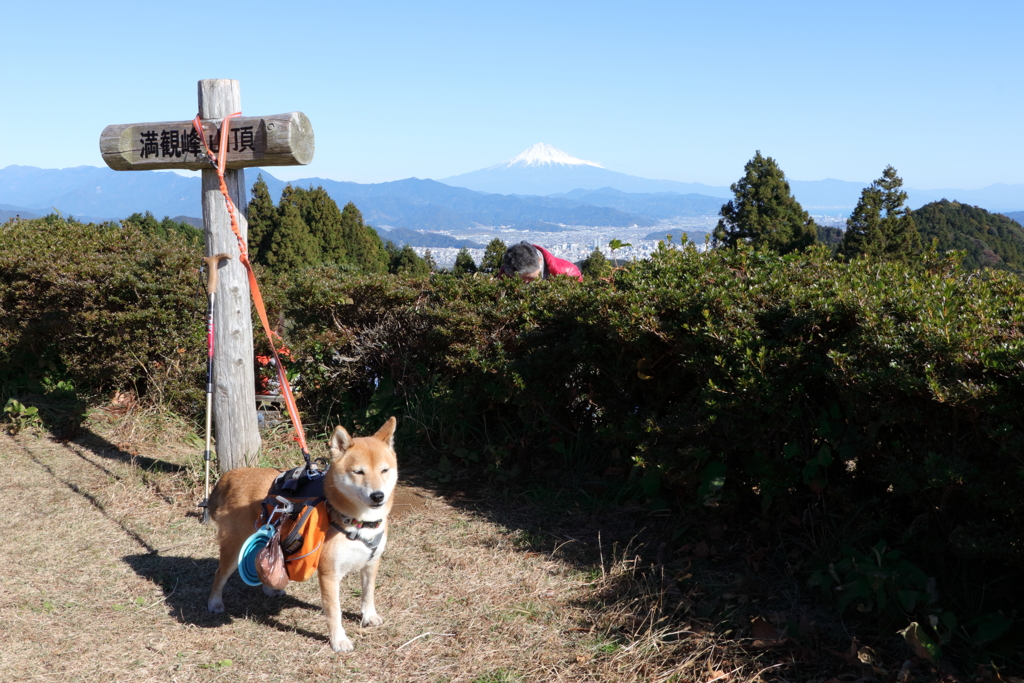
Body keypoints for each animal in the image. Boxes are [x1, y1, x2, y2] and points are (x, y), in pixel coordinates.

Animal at [205, 417, 397, 651]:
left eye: (384, 470)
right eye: (358, 472)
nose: (378, 496)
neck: (360, 523)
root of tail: (231, 475)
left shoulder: (372, 562)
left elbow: (368, 594)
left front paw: (369, 616)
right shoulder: (329, 574)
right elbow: (334, 612)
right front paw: (338, 639)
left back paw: (270, 589)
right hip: (233, 549)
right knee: (219, 575)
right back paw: (215, 602)